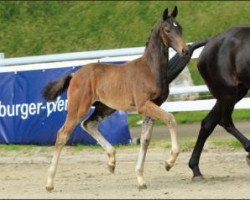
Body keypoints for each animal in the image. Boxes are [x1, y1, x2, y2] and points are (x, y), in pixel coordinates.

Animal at [42, 6, 189, 191]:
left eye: (180, 28)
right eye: (168, 30)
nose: (185, 50)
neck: (150, 69)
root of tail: (75, 74)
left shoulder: (153, 106)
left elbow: (145, 140)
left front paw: (141, 179)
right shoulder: (144, 105)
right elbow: (170, 119)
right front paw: (169, 162)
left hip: (105, 107)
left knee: (88, 124)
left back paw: (112, 161)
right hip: (78, 108)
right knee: (63, 134)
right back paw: (49, 182)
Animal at [188, 26, 250, 178]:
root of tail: (211, 41)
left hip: (232, 93)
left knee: (208, 123)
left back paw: (195, 169)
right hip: (228, 92)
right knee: (225, 122)